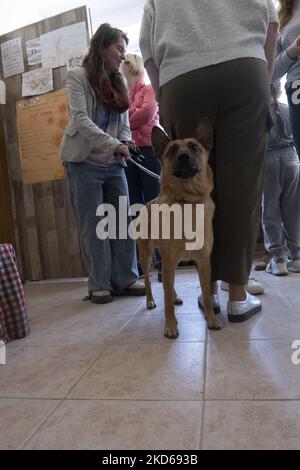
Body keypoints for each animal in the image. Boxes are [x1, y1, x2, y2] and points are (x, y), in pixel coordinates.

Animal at [137, 118, 221, 338]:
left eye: (194, 147)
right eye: (172, 150)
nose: (184, 157)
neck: (187, 201)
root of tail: (148, 203)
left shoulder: (203, 263)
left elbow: (207, 295)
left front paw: (211, 318)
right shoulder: (168, 261)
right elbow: (166, 301)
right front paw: (170, 326)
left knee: (169, 286)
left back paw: (174, 296)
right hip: (147, 256)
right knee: (150, 282)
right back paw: (150, 300)